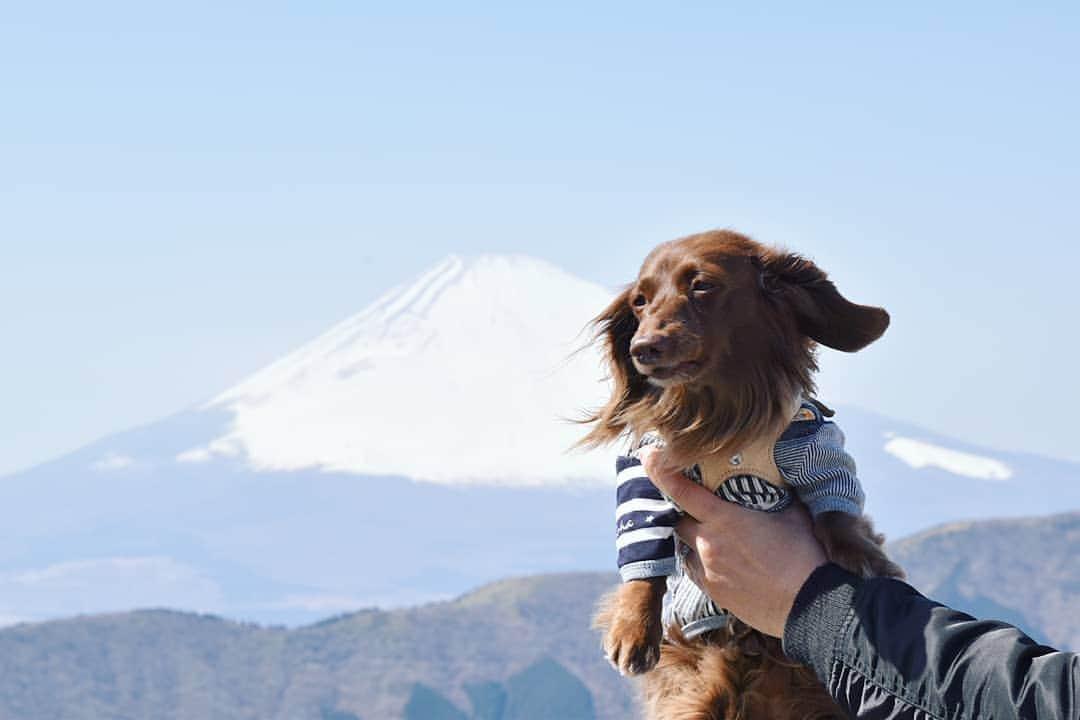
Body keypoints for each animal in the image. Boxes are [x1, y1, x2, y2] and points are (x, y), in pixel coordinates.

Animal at [583, 231, 902, 720]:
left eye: (701, 285)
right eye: (639, 301)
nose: (641, 348)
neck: (724, 419)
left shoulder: (817, 445)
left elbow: (836, 512)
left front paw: (866, 556)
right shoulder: (642, 475)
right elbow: (643, 553)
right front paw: (633, 629)